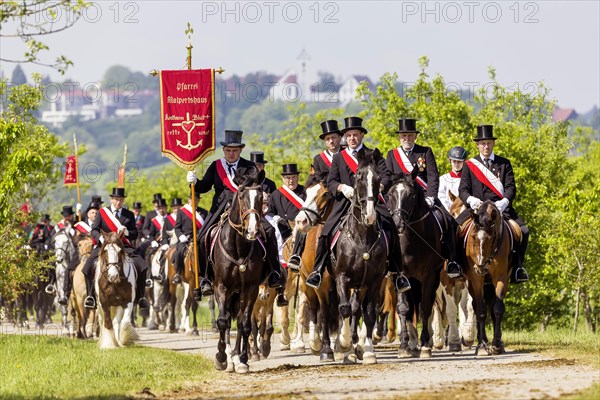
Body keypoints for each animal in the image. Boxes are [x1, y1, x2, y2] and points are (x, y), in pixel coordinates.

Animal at [212, 167, 266, 374]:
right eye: (242, 196)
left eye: (261, 196)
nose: (252, 231)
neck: (239, 247)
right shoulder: (221, 287)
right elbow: (222, 321)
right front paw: (221, 357)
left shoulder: (250, 288)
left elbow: (244, 323)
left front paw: (242, 359)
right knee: (227, 319)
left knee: (241, 318)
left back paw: (236, 355)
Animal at [328, 148, 390, 364]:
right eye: (359, 177)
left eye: (378, 178)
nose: (369, 216)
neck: (362, 236)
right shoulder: (342, 277)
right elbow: (344, 309)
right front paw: (343, 343)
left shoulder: (374, 281)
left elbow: (369, 312)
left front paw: (368, 349)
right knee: (341, 310)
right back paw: (343, 349)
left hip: (360, 285)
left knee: (357, 308)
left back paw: (357, 348)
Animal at [390, 167, 446, 358]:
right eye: (390, 193)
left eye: (411, 194)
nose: (397, 223)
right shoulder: (400, 275)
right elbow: (403, 308)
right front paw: (404, 346)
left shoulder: (429, 275)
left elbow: (425, 307)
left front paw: (425, 345)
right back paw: (411, 343)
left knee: (426, 303)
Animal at [450, 195, 520, 354]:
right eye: (473, 236)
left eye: (492, 236)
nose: (480, 267)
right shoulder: (476, 280)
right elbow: (481, 311)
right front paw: (482, 345)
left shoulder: (501, 277)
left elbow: (498, 309)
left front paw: (497, 344)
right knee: (475, 306)